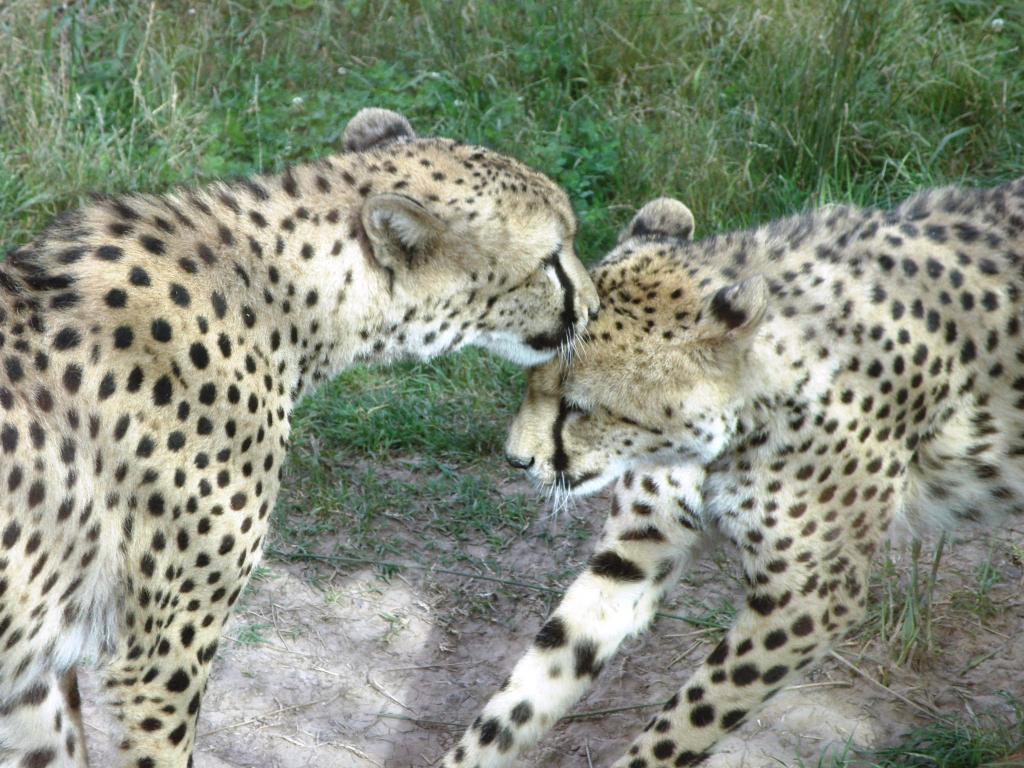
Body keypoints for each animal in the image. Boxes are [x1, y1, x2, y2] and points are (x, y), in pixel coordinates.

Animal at [444, 183, 1024, 765]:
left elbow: (688, 719)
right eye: (531, 381)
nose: (517, 459)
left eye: (578, 406)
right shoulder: (635, 553)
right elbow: (527, 691)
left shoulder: (811, 594)